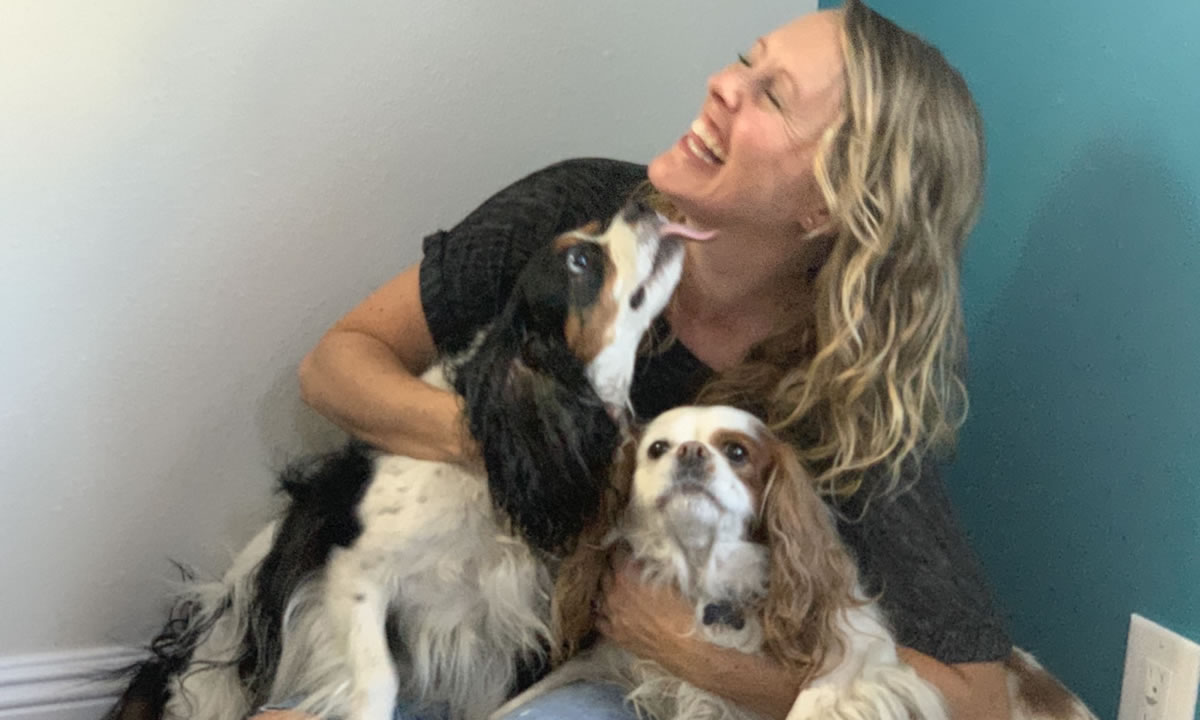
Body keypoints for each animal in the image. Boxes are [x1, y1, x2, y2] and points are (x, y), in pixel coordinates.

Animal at [494, 408, 1099, 715]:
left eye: (737, 452)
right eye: (656, 449)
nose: (690, 454)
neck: (705, 577)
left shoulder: (864, 659)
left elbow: (813, 700)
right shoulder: (612, 661)